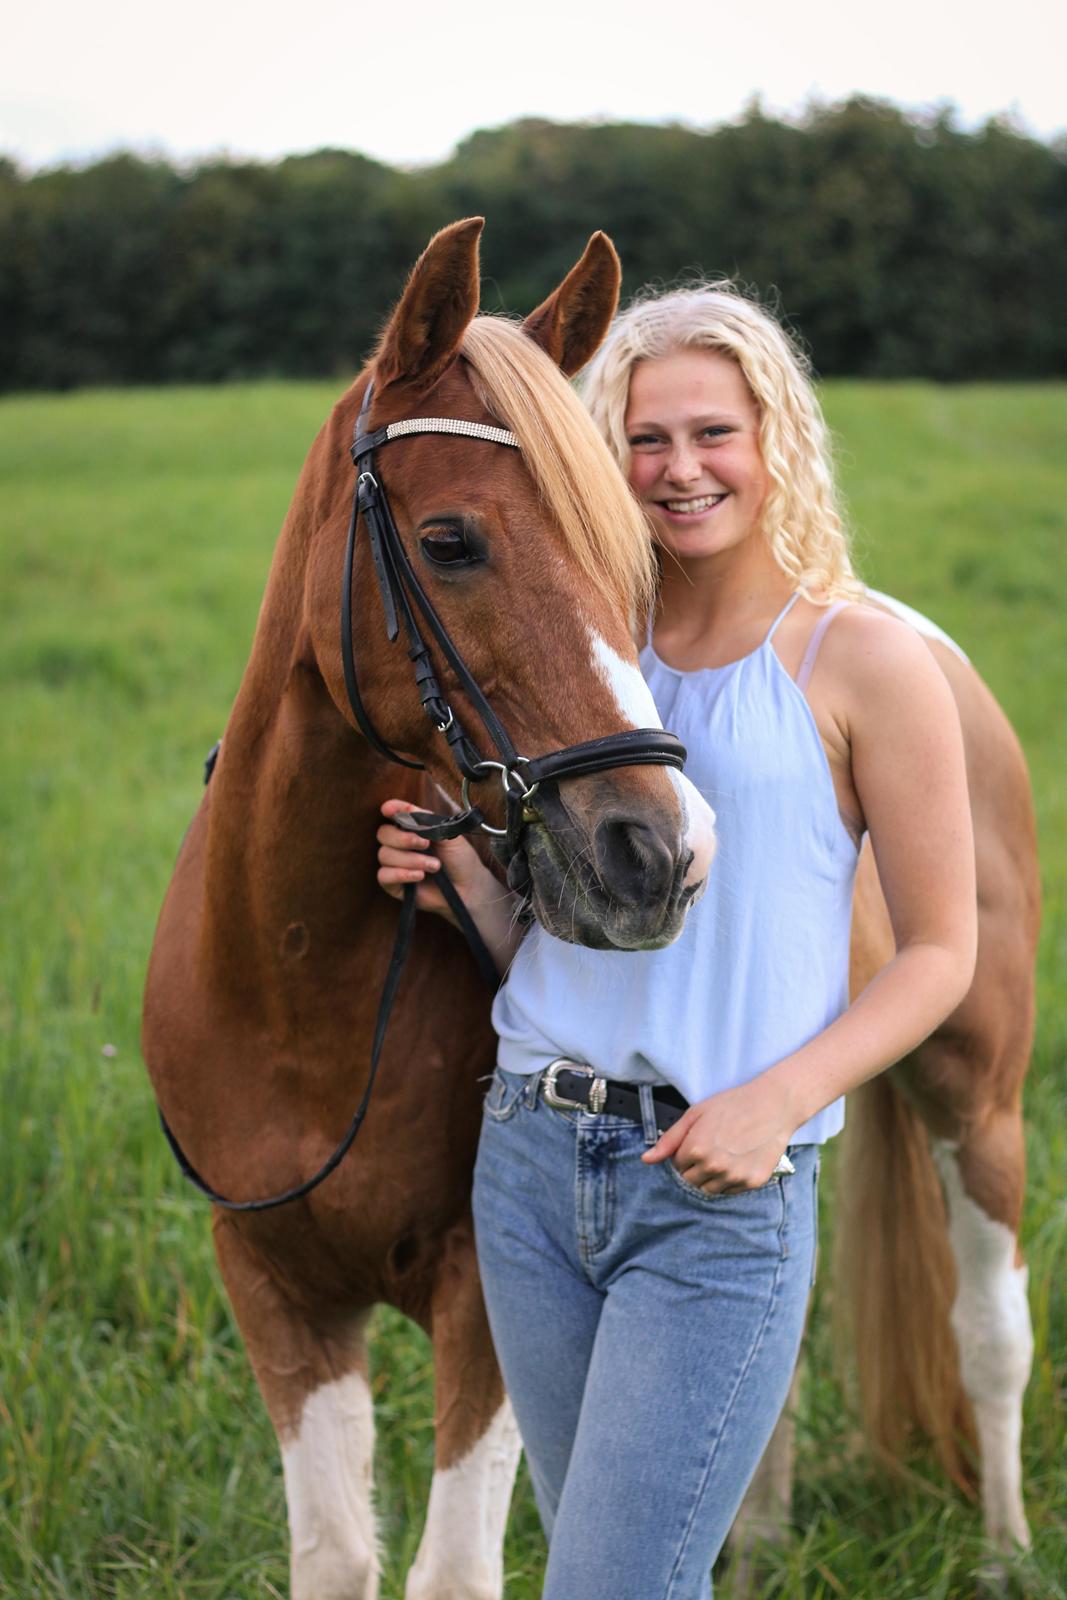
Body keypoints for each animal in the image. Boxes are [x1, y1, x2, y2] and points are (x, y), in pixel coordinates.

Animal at [142, 217, 716, 1600]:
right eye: (452, 541)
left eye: (637, 557)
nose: (656, 854)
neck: (298, 988)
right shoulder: (273, 1287)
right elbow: (336, 1554)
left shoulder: (485, 1291)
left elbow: (450, 1571)